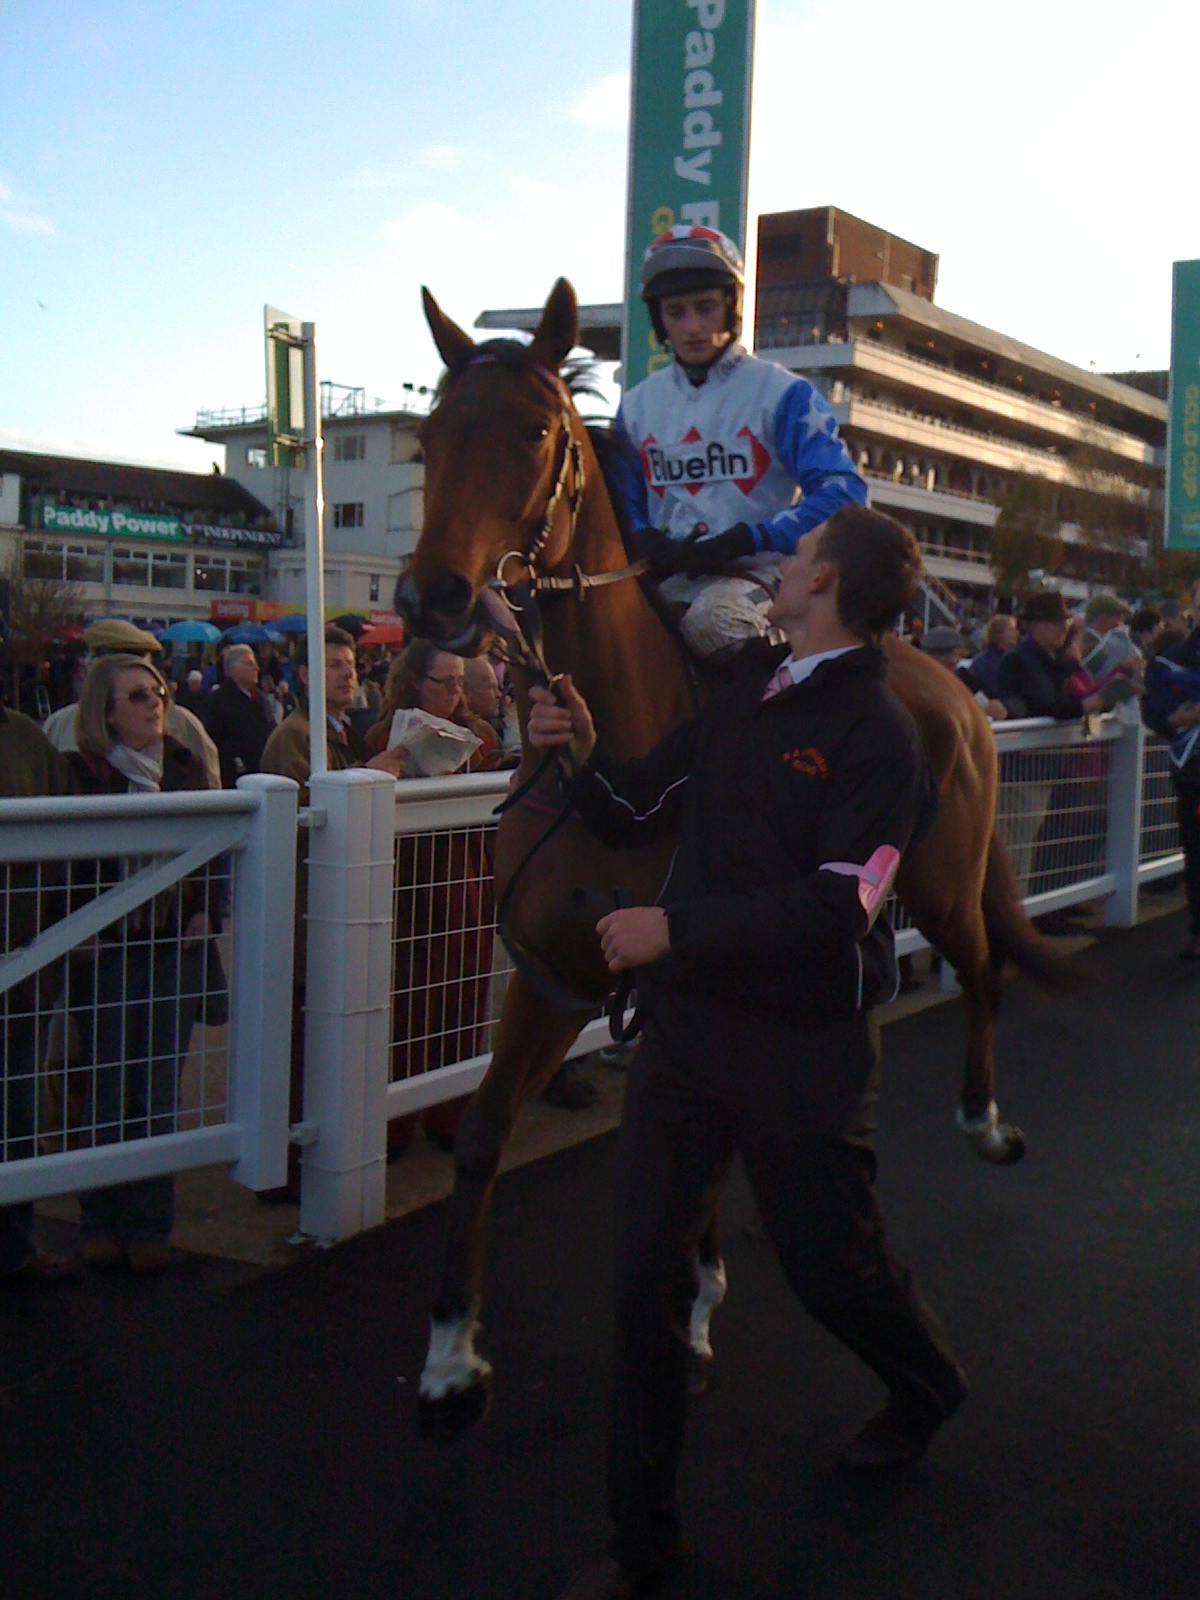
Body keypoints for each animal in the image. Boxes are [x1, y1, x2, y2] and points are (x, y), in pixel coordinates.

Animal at [398, 277, 1079, 1438]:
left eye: (534, 431)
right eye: (430, 436)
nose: (431, 597)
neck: (617, 759)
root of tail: (948, 680)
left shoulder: (678, 971)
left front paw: (695, 1301)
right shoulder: (554, 974)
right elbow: (485, 1134)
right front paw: (449, 1358)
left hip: (940, 882)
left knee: (984, 969)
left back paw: (985, 1122)